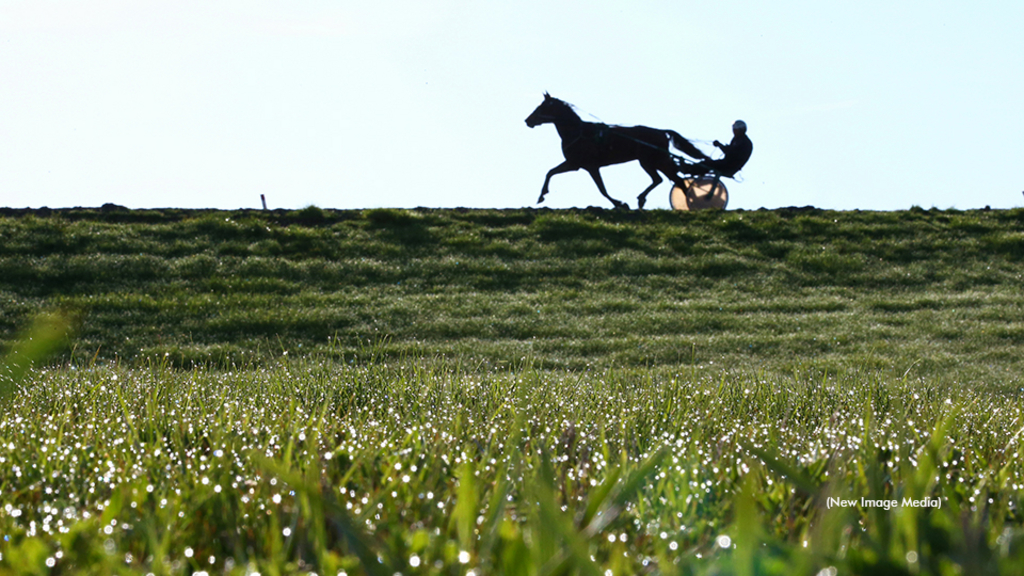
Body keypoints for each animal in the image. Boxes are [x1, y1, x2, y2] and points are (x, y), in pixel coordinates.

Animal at [524, 93, 708, 210]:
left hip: (650, 161)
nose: (527, 120)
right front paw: (541, 196)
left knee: (666, 179)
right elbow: (550, 172)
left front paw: (619, 203)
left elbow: (602, 189)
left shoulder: (590, 166)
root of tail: (662, 132)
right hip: (658, 161)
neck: (578, 133)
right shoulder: (575, 164)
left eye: (541, 107)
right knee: (673, 180)